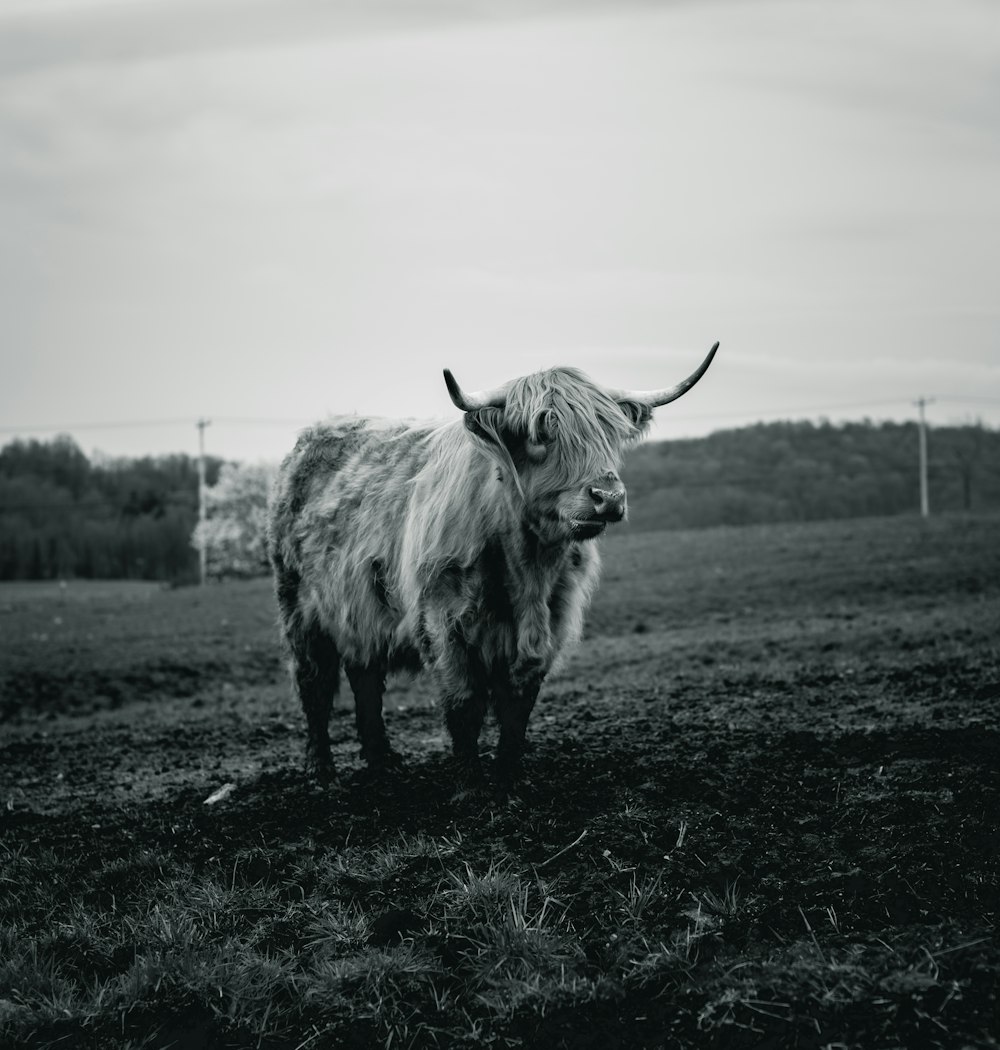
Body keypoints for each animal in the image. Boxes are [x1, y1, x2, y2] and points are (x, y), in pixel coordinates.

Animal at [265, 344, 718, 789]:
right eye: (541, 433)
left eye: (610, 431)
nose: (607, 498)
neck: (528, 566)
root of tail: (314, 435)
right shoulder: (442, 619)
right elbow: (463, 702)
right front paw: (470, 787)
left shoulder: (550, 621)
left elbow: (518, 702)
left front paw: (507, 778)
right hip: (299, 611)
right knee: (314, 684)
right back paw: (322, 773)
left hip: (359, 612)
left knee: (365, 680)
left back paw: (384, 764)